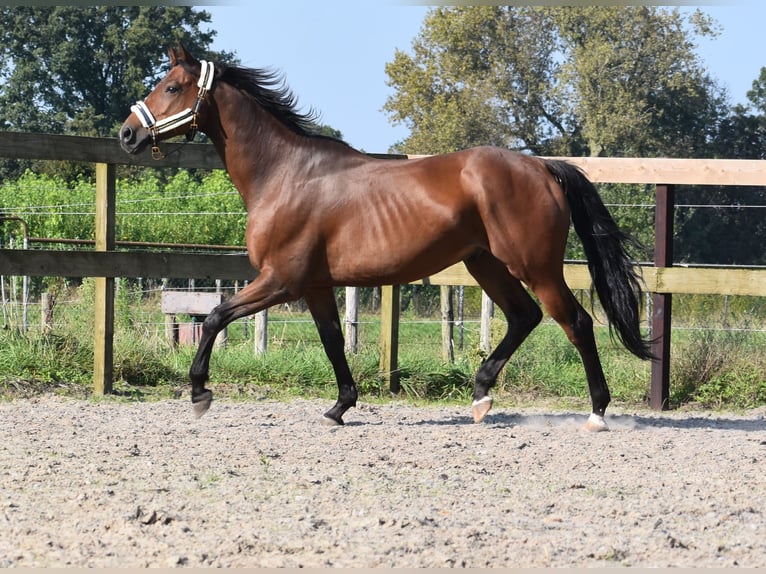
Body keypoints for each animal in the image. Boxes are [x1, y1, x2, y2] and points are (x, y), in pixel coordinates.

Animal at [120, 46, 656, 432]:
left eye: (171, 87)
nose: (127, 135)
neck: (284, 175)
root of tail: (543, 167)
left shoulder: (280, 280)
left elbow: (213, 317)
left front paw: (199, 394)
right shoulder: (315, 286)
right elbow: (333, 341)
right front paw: (340, 407)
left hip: (535, 266)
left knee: (575, 322)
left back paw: (596, 413)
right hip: (486, 263)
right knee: (524, 317)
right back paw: (481, 396)